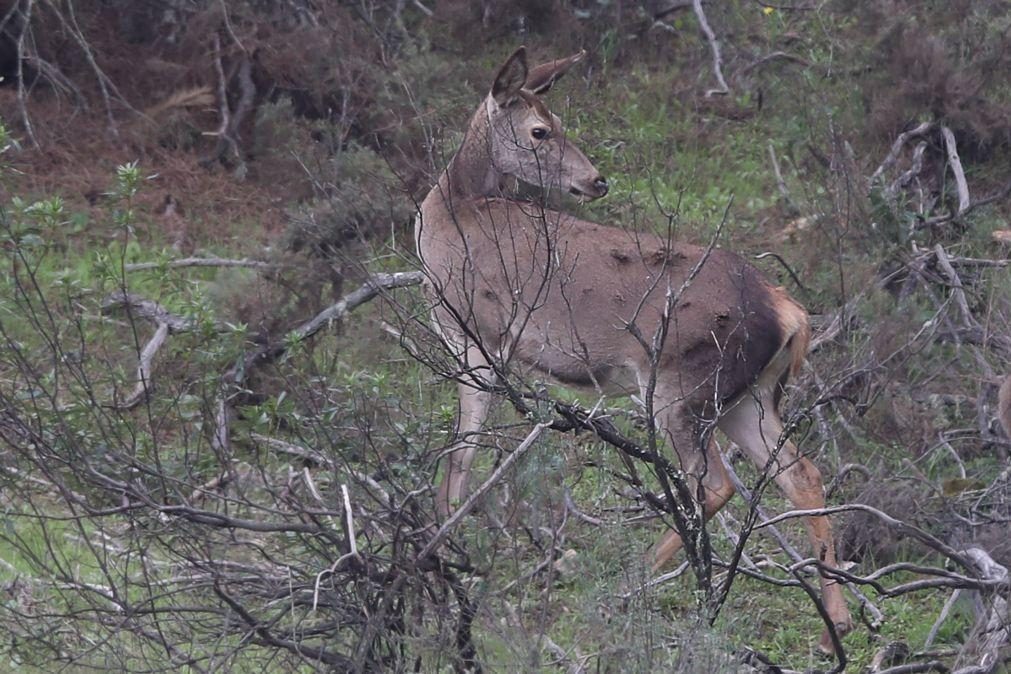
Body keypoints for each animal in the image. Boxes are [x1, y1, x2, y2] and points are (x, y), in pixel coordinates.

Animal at [416, 46, 853, 646]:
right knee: (800, 473)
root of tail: (791, 312)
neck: (450, 212)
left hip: (682, 384)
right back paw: (837, 619)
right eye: (541, 129)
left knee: (714, 483)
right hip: (749, 395)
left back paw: (633, 582)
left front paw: (447, 549)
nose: (597, 180)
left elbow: (465, 451)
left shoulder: (477, 333)